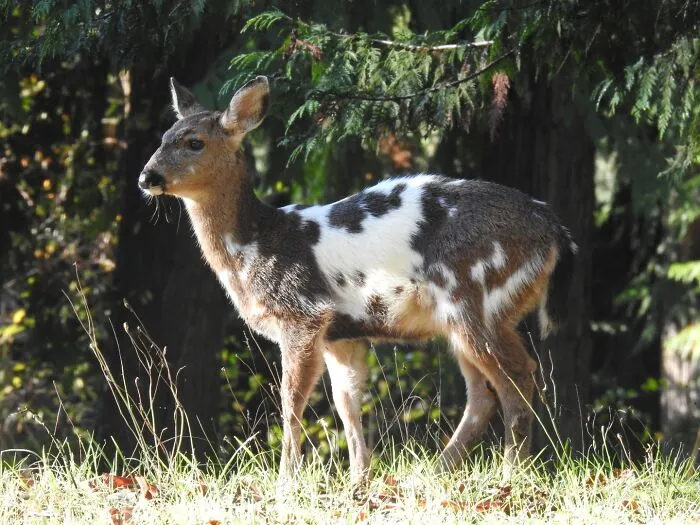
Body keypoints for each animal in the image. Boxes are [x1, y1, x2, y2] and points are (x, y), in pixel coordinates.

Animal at [138, 75, 576, 487]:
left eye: (194, 142)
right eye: (162, 138)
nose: (146, 176)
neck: (255, 245)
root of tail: (554, 230)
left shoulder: (302, 312)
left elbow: (291, 401)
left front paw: (287, 480)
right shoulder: (341, 332)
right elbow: (347, 403)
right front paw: (358, 478)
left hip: (474, 298)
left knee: (518, 375)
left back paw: (510, 473)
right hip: (463, 318)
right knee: (483, 392)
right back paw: (436, 472)